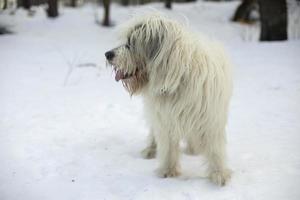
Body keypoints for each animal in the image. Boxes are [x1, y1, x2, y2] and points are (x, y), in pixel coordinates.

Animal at [106, 13, 234, 186]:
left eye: (131, 43)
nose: (107, 54)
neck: (175, 79)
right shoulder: (165, 118)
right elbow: (167, 146)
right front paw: (168, 170)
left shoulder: (210, 118)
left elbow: (215, 149)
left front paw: (219, 174)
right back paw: (151, 149)